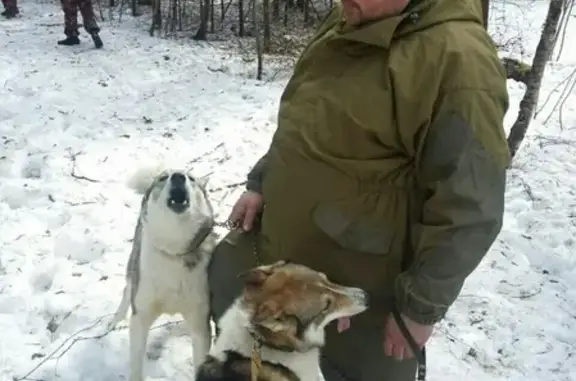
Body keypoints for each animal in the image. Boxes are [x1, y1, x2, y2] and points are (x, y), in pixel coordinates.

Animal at [107, 166, 217, 380]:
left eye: (191, 179)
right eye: (163, 178)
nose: (178, 177)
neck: (173, 252)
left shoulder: (200, 322)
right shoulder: (140, 317)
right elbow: (136, 366)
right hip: (134, 263)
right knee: (127, 288)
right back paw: (116, 320)